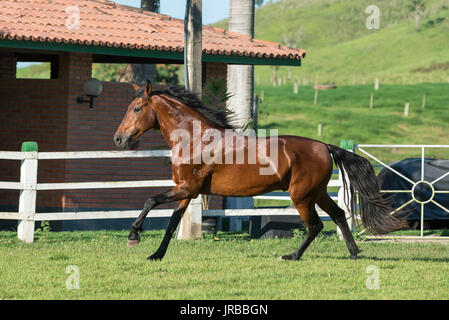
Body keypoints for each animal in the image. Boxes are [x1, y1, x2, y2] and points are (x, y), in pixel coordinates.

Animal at [113, 79, 406, 260]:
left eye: (137, 108)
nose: (118, 139)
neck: (196, 139)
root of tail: (324, 146)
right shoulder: (186, 192)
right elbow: (172, 223)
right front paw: (156, 255)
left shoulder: (187, 188)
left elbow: (150, 200)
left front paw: (133, 236)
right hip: (317, 193)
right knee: (338, 215)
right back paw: (354, 252)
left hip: (301, 196)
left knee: (315, 225)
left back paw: (292, 256)